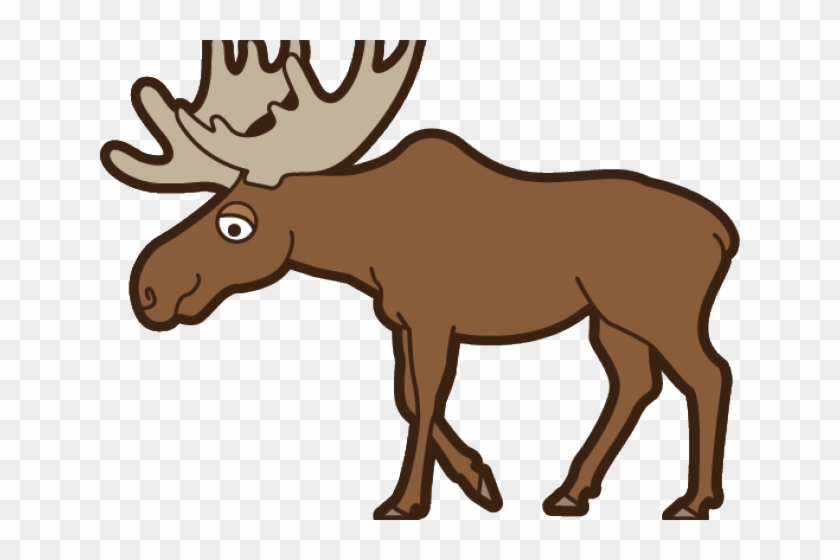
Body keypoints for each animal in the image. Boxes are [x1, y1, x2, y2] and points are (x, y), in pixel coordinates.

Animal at [100, 39, 740, 521]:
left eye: (235, 224)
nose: (149, 289)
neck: (366, 246)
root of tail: (724, 232)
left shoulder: (434, 318)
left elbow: (426, 396)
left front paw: (406, 502)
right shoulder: (402, 320)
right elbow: (408, 397)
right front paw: (480, 480)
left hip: (659, 312)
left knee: (709, 375)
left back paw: (694, 501)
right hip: (611, 319)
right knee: (636, 383)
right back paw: (570, 492)